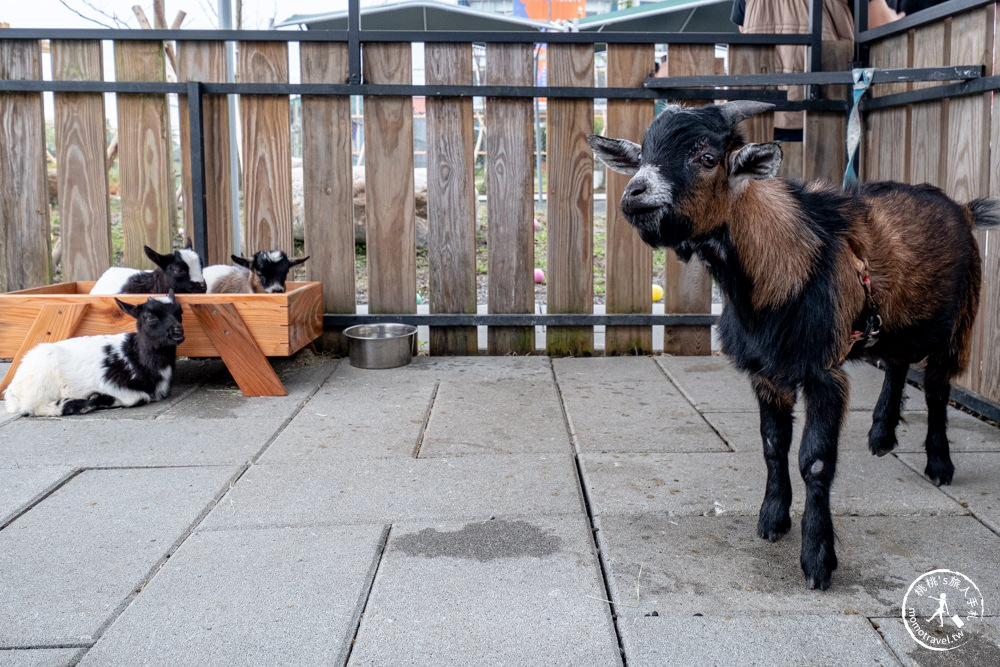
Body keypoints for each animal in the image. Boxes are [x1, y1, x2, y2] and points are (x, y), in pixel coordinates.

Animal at [4, 294, 186, 418]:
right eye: (150, 317)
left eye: (180, 312)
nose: (178, 331)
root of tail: (12, 389)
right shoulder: (113, 384)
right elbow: (138, 398)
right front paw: (98, 397)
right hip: (40, 386)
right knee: (32, 408)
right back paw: (77, 404)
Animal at [588, 99, 996, 588]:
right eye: (643, 156)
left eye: (706, 158)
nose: (635, 194)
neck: (780, 267)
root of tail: (963, 209)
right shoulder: (768, 371)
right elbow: (772, 444)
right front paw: (772, 519)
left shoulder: (823, 371)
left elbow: (814, 460)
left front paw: (818, 558)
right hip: (893, 322)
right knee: (897, 363)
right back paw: (881, 435)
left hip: (959, 320)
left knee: (936, 387)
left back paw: (939, 465)